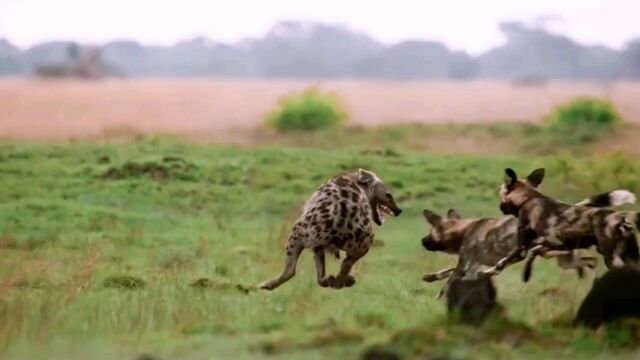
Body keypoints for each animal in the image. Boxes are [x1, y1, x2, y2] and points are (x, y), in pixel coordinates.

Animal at [258, 169, 400, 290]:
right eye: (389, 195)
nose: (399, 210)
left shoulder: (314, 240)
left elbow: (321, 274)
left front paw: (333, 280)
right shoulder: (318, 243)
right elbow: (322, 274)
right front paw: (331, 280)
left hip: (298, 232)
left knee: (290, 270)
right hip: (361, 241)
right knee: (346, 263)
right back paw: (341, 280)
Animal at [484, 167, 640, 282]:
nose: (500, 207)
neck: (528, 199)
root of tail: (620, 218)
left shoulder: (520, 250)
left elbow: (501, 263)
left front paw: (488, 272)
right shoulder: (545, 247)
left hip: (613, 261)